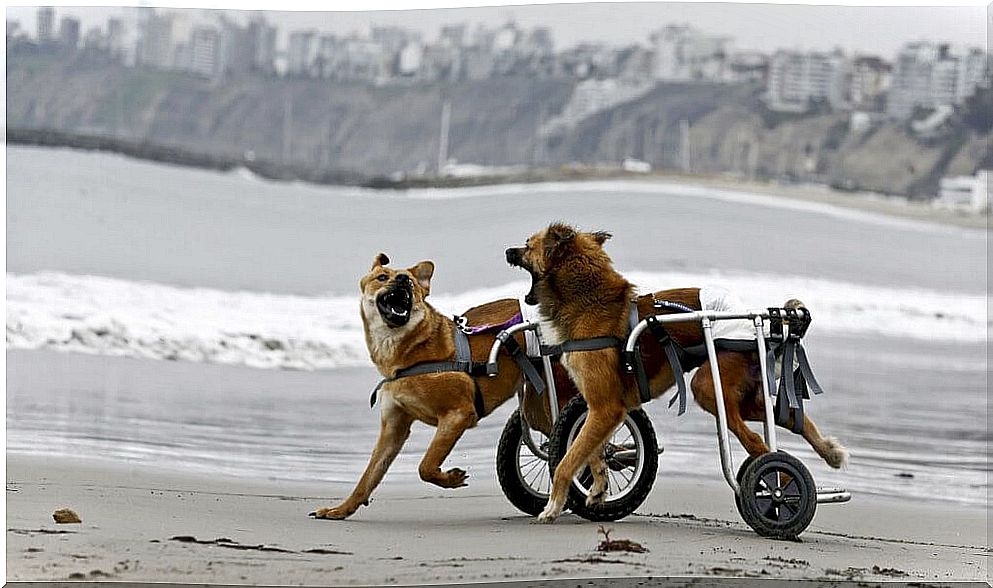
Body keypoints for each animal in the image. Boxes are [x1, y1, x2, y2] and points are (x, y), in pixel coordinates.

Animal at [310, 253, 572, 520]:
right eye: (382, 277)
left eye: (411, 282)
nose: (403, 279)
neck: (407, 350)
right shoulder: (393, 428)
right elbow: (368, 477)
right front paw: (341, 509)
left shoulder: (458, 414)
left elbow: (425, 465)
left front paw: (450, 479)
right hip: (536, 408)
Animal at [512, 223, 844, 520]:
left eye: (528, 244)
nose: (507, 250)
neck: (588, 300)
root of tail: (761, 323)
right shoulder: (598, 407)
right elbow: (591, 450)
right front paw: (599, 488)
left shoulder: (605, 407)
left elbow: (568, 460)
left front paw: (554, 506)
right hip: (740, 395)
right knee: (785, 416)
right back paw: (829, 452)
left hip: (709, 385)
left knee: (756, 442)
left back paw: (779, 488)